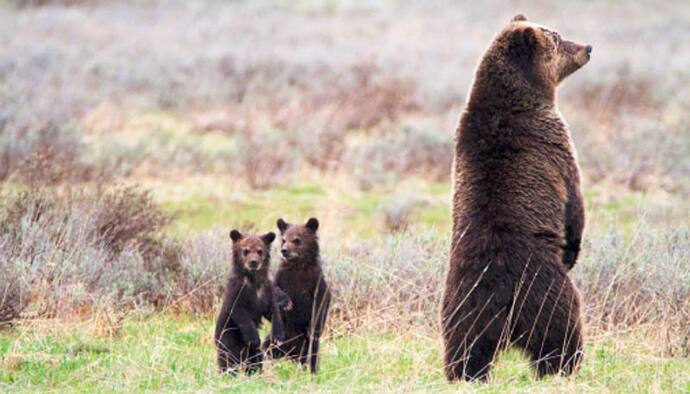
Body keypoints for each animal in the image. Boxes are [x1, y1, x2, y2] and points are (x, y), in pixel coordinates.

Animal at [212, 231, 282, 376]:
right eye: (246, 250)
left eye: (260, 251)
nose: (253, 262)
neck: (253, 280)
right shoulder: (238, 292)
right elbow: (241, 314)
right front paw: (254, 339)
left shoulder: (266, 291)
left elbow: (273, 311)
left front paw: (278, 336)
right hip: (227, 339)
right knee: (228, 360)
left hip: (249, 353)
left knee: (255, 358)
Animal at [266, 217, 330, 374]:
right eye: (283, 239)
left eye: (296, 240)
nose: (284, 250)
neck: (298, 267)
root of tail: (291, 354)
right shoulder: (283, 277)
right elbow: (273, 290)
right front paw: (286, 302)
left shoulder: (315, 282)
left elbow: (322, 304)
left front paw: (313, 329)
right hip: (275, 340)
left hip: (306, 346)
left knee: (312, 356)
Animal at [440, 15, 584, 382]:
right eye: (559, 38)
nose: (588, 47)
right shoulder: (552, 141)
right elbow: (574, 200)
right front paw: (573, 248)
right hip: (543, 291)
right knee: (560, 332)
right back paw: (565, 367)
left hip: (462, 302)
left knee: (466, 346)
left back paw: (465, 374)